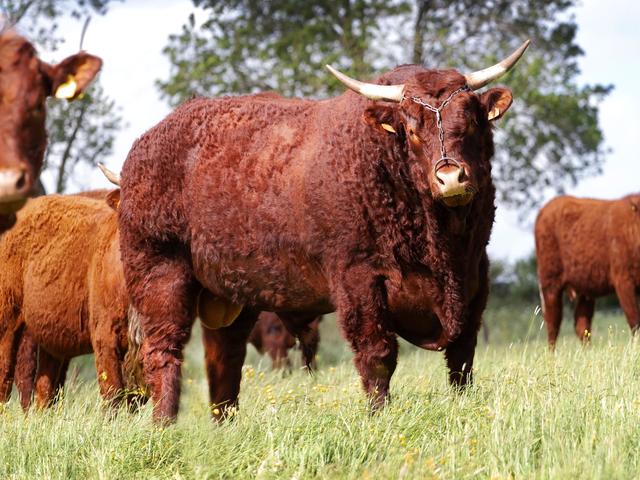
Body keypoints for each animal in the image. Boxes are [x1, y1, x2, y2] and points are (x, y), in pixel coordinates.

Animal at [115, 40, 530, 422]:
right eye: (412, 129)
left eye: (471, 121)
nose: (451, 178)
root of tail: (145, 143)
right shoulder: (358, 278)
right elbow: (377, 354)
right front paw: (379, 416)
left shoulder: (476, 276)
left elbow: (462, 354)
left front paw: (464, 404)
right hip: (159, 274)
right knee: (164, 351)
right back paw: (165, 425)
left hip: (230, 294)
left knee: (224, 359)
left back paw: (225, 424)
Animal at [535, 194, 640, 345]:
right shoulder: (624, 281)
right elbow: (635, 322)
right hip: (550, 282)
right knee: (553, 323)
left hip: (585, 288)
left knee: (581, 325)